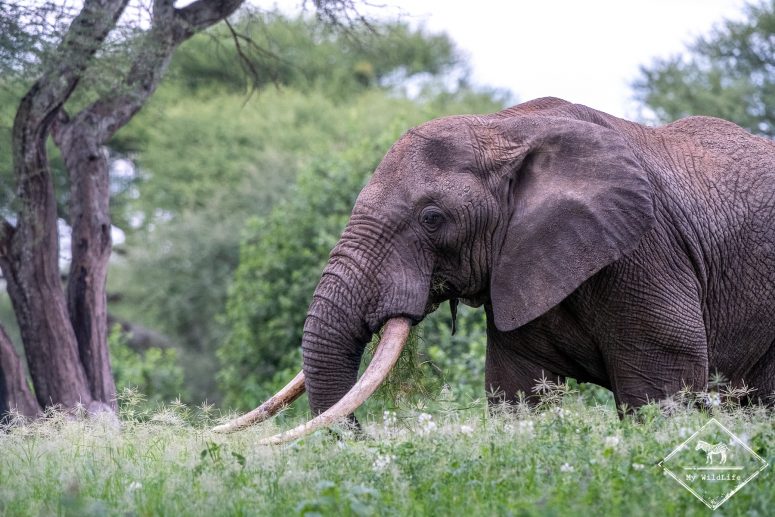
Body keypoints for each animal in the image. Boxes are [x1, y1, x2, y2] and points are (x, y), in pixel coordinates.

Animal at [215, 97, 775, 442]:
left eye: (432, 218)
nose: (361, 441)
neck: (503, 126)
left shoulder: (646, 250)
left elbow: (660, 391)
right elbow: (516, 393)